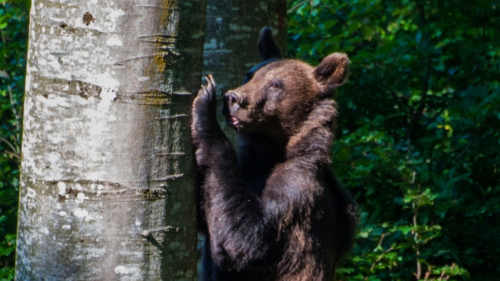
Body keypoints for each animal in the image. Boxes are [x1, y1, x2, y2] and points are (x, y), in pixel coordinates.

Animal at [190, 26, 356, 280]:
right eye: (249, 75)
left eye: (275, 85)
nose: (232, 99)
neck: (271, 152)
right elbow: (207, 210)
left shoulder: (297, 191)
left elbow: (246, 240)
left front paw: (205, 103)